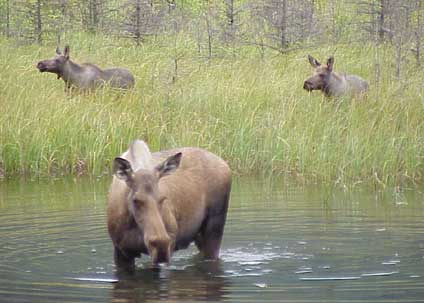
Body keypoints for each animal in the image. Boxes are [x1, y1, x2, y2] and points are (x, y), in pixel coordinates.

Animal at [106, 141, 232, 274]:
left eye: (162, 198)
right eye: (136, 200)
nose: (161, 244)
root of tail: (225, 164)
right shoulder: (121, 250)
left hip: (215, 227)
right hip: (199, 236)